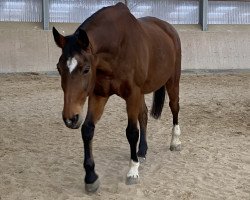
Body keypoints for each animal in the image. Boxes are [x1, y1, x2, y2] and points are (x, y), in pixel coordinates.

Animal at [52, 1, 182, 192]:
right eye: (59, 68)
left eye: (86, 69)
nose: (71, 118)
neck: (118, 46)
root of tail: (169, 29)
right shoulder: (99, 95)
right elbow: (87, 129)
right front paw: (90, 177)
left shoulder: (132, 94)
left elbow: (131, 132)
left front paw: (133, 171)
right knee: (144, 115)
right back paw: (142, 151)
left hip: (172, 81)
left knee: (174, 107)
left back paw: (175, 142)